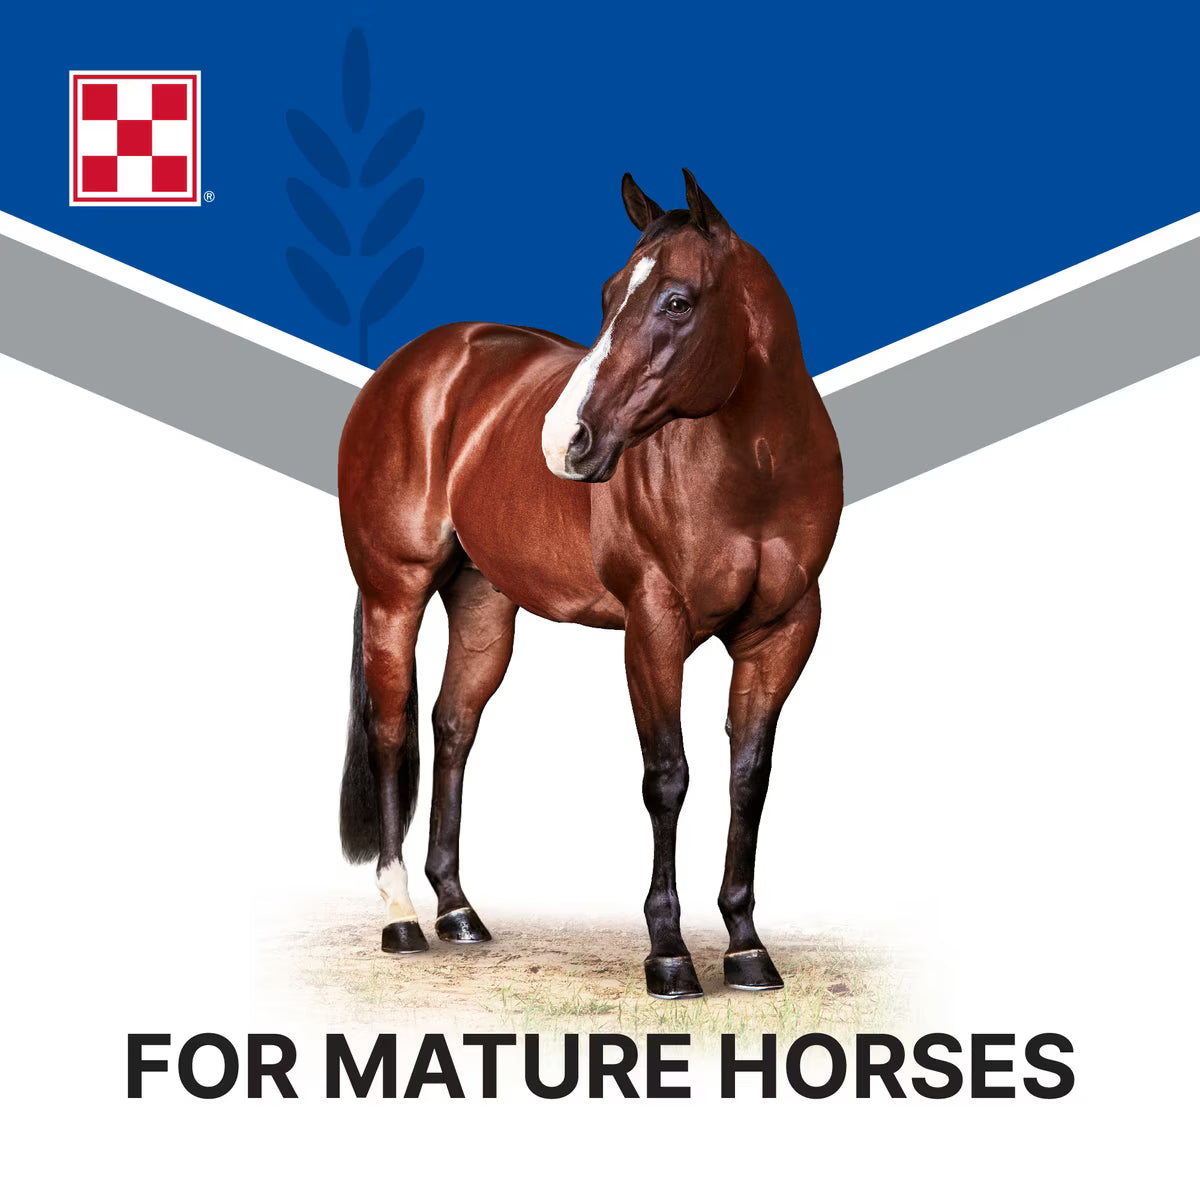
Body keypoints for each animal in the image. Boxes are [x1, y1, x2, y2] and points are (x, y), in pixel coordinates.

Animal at [337, 169, 842, 999]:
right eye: (608, 295)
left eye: (677, 301)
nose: (564, 441)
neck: (757, 473)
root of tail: (414, 364)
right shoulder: (654, 628)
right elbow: (667, 777)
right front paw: (669, 954)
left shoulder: (783, 633)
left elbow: (748, 779)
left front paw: (745, 948)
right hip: (394, 593)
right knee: (391, 731)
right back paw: (402, 917)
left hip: (483, 603)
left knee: (453, 725)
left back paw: (458, 911)